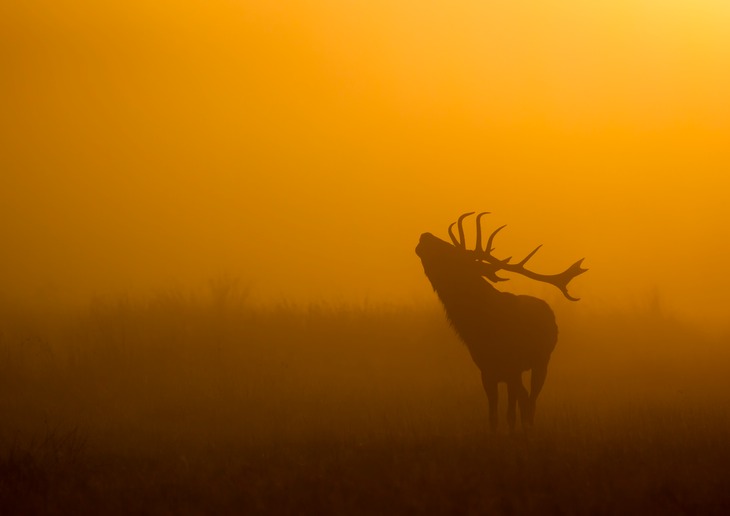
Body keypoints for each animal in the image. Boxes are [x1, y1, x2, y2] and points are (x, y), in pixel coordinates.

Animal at [416, 212, 584, 434]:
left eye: (451, 253)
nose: (425, 235)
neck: (483, 327)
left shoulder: (512, 367)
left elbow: (513, 412)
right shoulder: (487, 371)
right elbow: (494, 417)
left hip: (541, 362)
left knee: (530, 401)